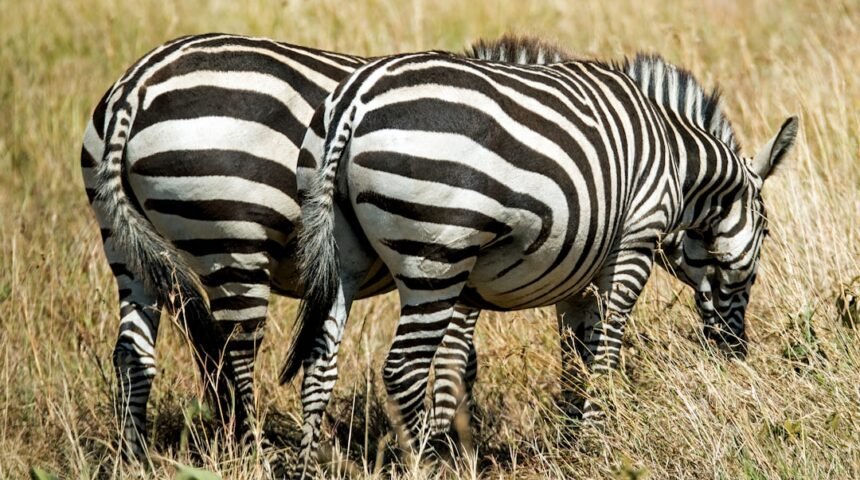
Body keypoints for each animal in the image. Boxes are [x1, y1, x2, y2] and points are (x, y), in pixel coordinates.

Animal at [80, 32, 576, 462]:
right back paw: (254, 452)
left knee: (131, 355)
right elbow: (459, 360)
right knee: (236, 352)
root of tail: (136, 84)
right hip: (232, 237)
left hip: (124, 245)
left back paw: (135, 458)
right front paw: (452, 445)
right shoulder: (453, 256)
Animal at [284, 50, 797, 475]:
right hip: (437, 257)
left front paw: (574, 442)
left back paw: (308, 468)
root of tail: (355, 99)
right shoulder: (633, 244)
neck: (676, 163)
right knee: (404, 367)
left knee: (321, 359)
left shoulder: (578, 276)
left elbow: (577, 359)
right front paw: (598, 443)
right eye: (768, 234)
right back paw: (432, 464)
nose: (735, 351)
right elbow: (607, 352)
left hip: (342, 254)